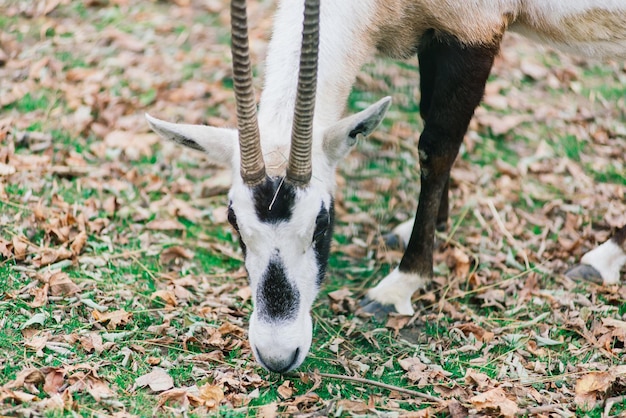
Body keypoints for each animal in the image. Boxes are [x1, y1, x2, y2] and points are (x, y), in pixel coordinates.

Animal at [146, 0, 624, 372]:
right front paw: (429, 226)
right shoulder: (435, 34)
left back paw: (603, 257)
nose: (278, 355)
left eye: (321, 223)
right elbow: (426, 115)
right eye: (235, 224)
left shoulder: (474, 34)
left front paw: (400, 285)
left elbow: (435, 149)